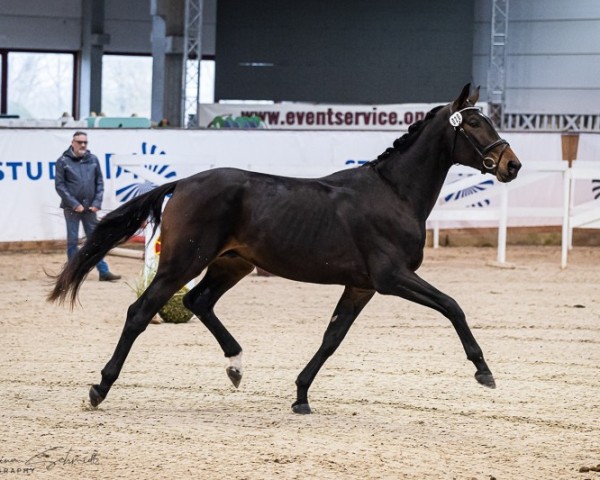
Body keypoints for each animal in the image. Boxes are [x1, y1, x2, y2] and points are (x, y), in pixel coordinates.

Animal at [48, 82, 520, 412]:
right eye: (474, 124)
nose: (511, 164)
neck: (394, 193)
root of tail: (184, 182)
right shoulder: (391, 278)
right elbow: (453, 306)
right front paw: (484, 371)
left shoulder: (362, 286)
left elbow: (332, 338)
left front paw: (301, 395)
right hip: (182, 261)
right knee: (141, 312)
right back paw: (100, 388)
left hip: (231, 264)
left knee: (199, 302)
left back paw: (236, 366)